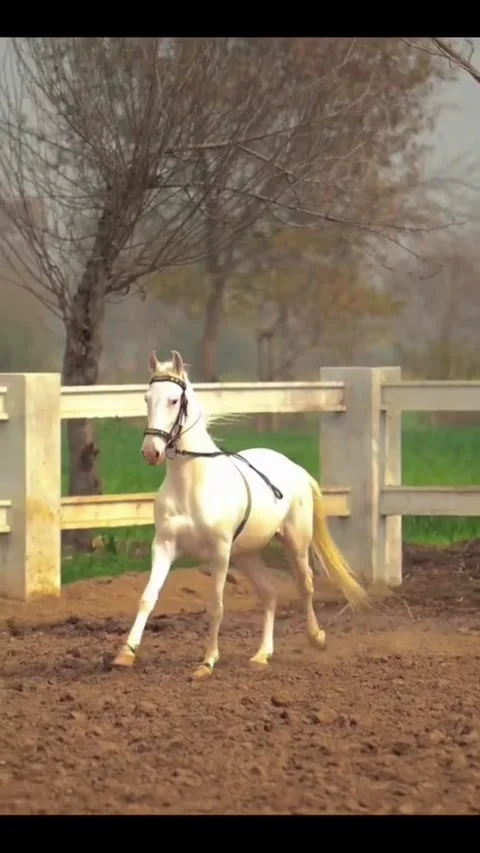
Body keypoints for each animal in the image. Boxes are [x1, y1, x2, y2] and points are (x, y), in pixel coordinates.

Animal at [112, 350, 369, 680]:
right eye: (146, 398)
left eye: (173, 400)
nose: (151, 452)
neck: (192, 484)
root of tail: (295, 468)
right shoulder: (165, 546)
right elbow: (147, 597)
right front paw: (125, 654)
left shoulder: (220, 553)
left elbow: (216, 606)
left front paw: (207, 663)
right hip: (247, 555)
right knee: (270, 593)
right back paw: (261, 655)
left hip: (295, 544)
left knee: (305, 585)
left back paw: (317, 639)